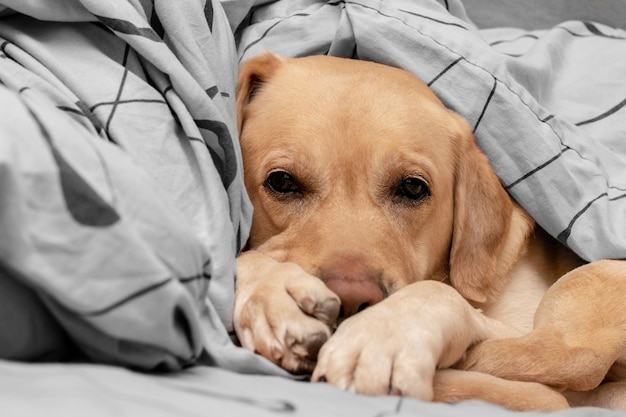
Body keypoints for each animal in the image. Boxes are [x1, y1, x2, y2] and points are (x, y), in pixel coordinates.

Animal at [232, 51, 624, 410]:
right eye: (282, 181)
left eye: (412, 187)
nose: (352, 300)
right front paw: (270, 292)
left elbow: (440, 294)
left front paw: (384, 334)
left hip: (594, 279)